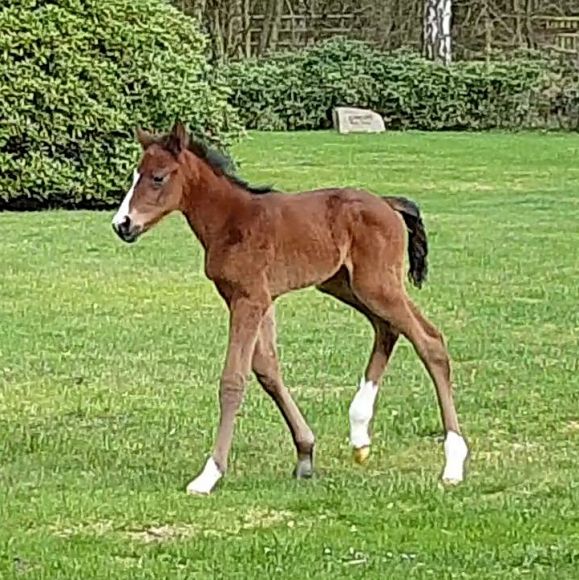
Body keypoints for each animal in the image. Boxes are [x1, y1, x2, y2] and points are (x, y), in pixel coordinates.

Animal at [111, 122, 468, 494]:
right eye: (136, 174)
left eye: (158, 177)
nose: (122, 224)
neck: (230, 219)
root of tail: (387, 202)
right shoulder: (257, 299)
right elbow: (267, 370)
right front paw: (305, 454)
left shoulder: (249, 299)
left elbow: (233, 380)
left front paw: (210, 473)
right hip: (345, 284)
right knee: (388, 329)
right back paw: (359, 434)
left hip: (376, 285)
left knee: (429, 341)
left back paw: (453, 464)